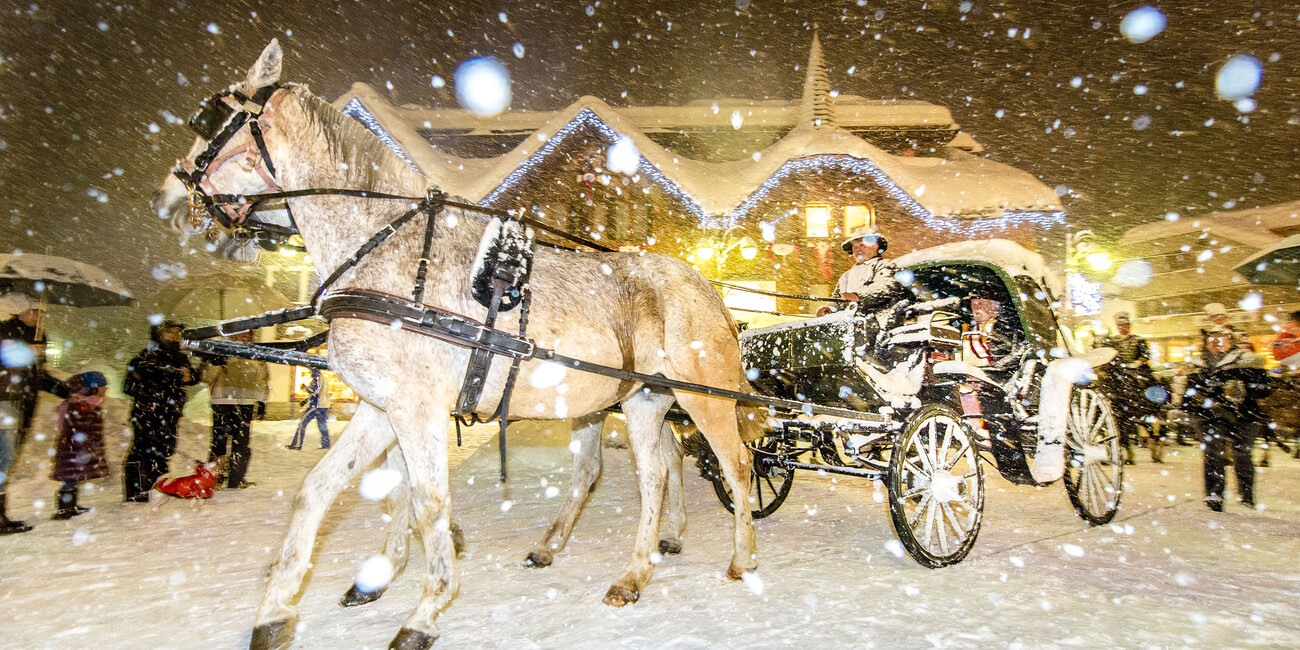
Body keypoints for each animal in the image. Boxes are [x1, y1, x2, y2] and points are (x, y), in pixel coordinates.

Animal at [153, 41, 759, 650]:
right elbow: (320, 489)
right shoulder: (381, 407)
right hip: (637, 401)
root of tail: (706, 286)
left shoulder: (417, 409)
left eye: (208, 120)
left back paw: (740, 558)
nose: (169, 199)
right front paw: (278, 611)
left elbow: (427, 503)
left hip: (704, 398)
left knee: (734, 464)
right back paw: (630, 567)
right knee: (651, 474)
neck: (386, 253)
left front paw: (424, 610)